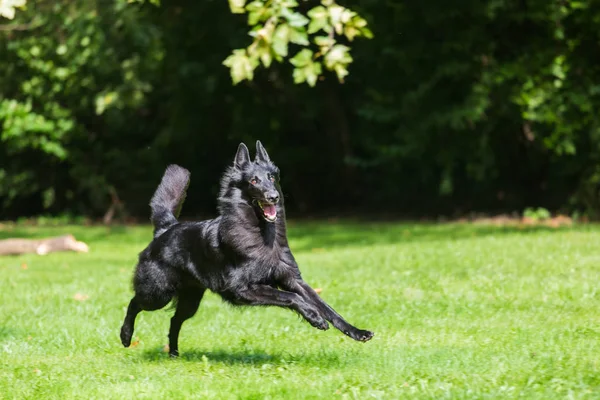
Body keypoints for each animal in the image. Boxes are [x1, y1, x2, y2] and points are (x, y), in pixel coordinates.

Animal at [119, 141, 372, 356]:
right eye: (253, 181)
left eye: (271, 177)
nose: (273, 196)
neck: (263, 235)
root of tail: (166, 228)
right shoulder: (243, 289)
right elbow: (291, 297)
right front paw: (314, 317)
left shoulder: (292, 278)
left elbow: (326, 306)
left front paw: (355, 331)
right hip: (158, 293)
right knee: (134, 303)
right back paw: (126, 336)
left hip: (190, 299)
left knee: (174, 320)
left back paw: (173, 353)